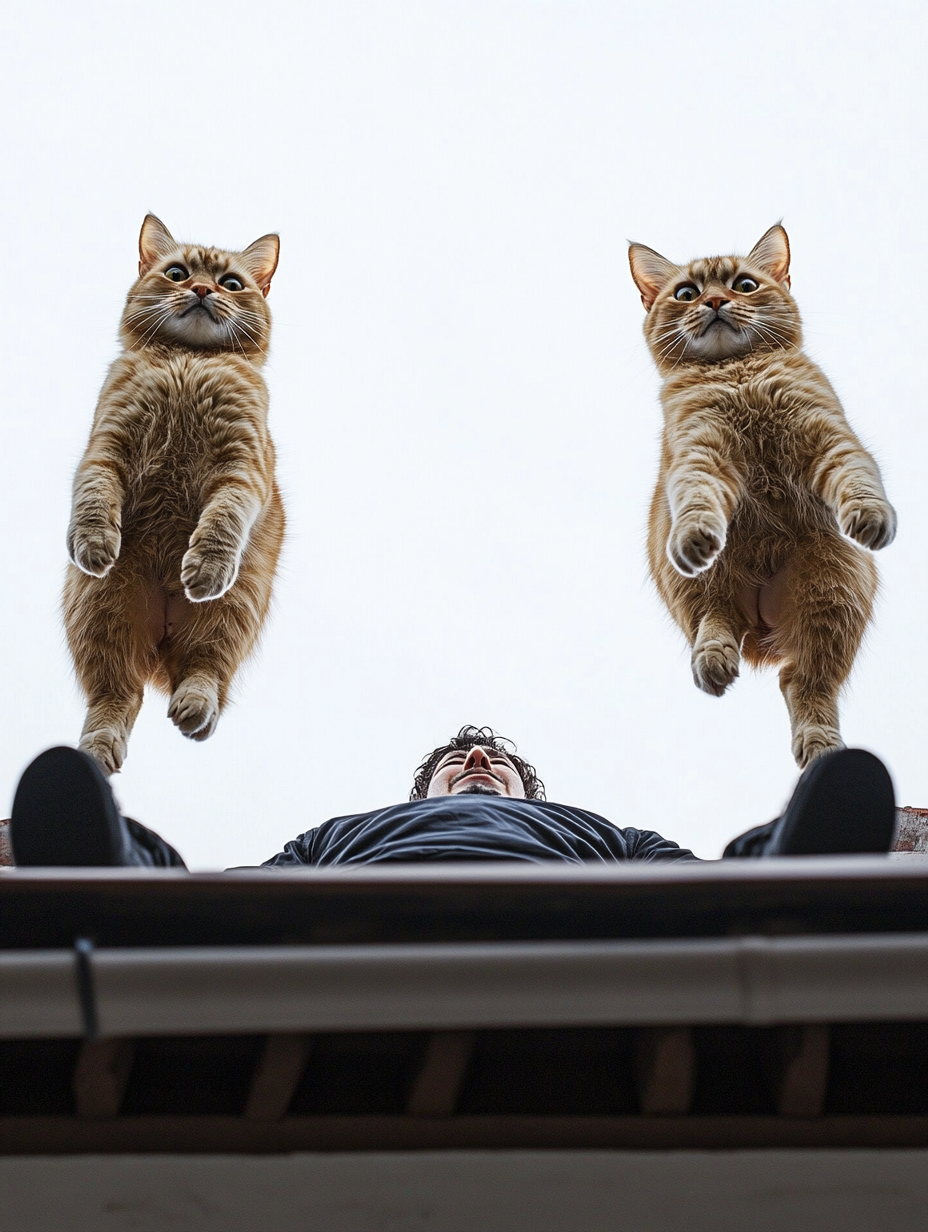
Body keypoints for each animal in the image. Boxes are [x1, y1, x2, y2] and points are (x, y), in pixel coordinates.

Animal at [63, 211, 285, 768]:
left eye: (231, 283)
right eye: (178, 273)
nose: (203, 289)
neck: (188, 362)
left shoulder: (241, 469)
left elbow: (222, 521)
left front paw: (205, 564)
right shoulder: (107, 447)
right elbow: (93, 499)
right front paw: (94, 540)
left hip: (233, 609)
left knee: (206, 672)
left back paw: (194, 708)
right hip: (100, 610)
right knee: (117, 695)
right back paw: (98, 750)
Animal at [626, 220, 892, 758]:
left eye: (744, 285)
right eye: (686, 293)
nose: (714, 301)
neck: (738, 376)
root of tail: (761, 631)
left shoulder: (828, 437)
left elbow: (856, 477)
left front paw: (870, 514)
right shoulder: (700, 454)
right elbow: (698, 499)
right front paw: (697, 533)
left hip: (835, 589)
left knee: (802, 682)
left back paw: (819, 744)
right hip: (700, 581)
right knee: (714, 619)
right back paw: (714, 659)